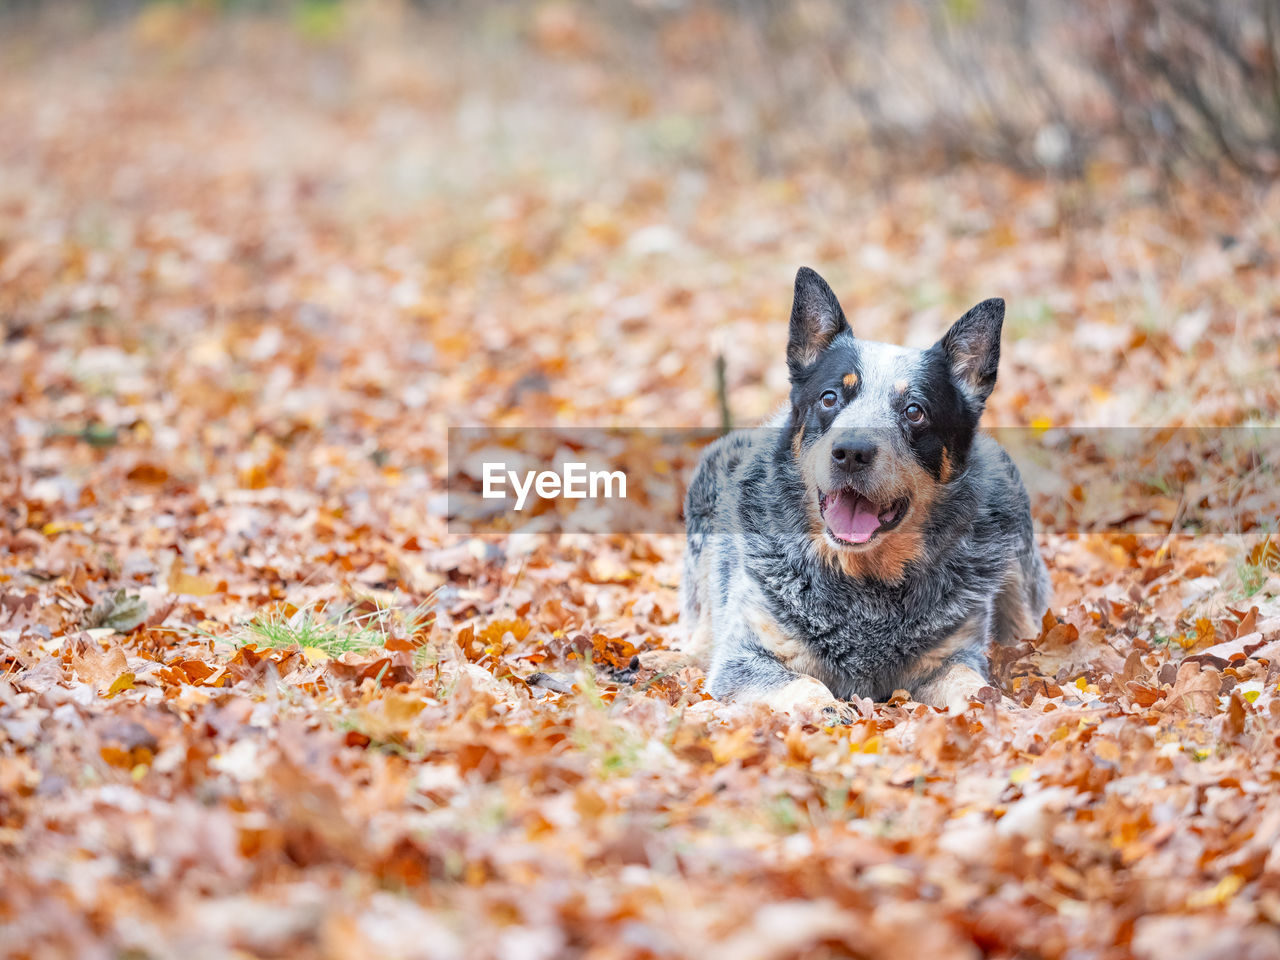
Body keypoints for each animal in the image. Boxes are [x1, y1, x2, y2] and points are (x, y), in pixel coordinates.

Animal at [680, 267, 1049, 716]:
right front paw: (829, 710)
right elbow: (801, 682)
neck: (864, 582)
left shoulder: (952, 656)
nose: (852, 451)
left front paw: (996, 708)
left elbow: (969, 681)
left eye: (914, 411)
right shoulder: (743, 659)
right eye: (829, 397)